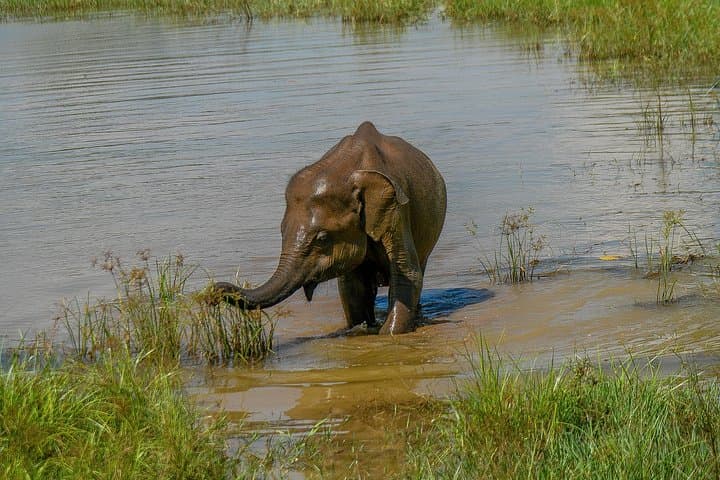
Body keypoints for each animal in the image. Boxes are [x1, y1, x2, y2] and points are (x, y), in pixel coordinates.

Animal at [213, 121, 446, 335]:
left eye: (323, 238)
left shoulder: (396, 211)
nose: (212, 294)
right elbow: (352, 287)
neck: (345, 170)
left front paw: (387, 334)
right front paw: (361, 329)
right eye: (281, 231)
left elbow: (408, 275)